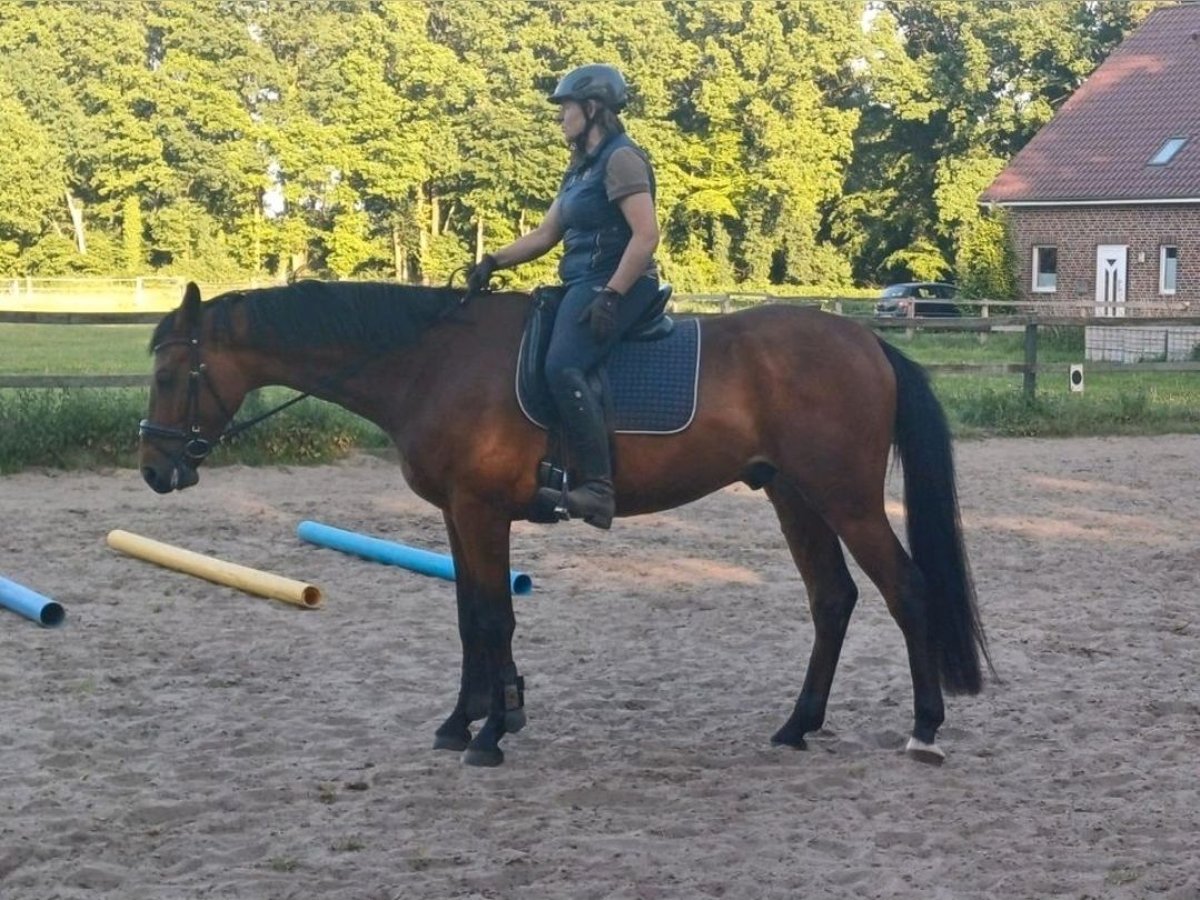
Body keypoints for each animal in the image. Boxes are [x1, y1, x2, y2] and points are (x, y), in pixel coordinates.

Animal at [138, 280, 990, 767]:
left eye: (172, 373)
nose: (155, 468)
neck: (431, 361)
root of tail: (867, 340)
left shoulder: (481, 511)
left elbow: (492, 616)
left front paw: (492, 730)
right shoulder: (459, 515)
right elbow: (470, 618)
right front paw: (469, 718)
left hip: (845, 499)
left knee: (908, 591)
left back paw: (926, 728)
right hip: (794, 496)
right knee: (833, 600)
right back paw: (796, 726)